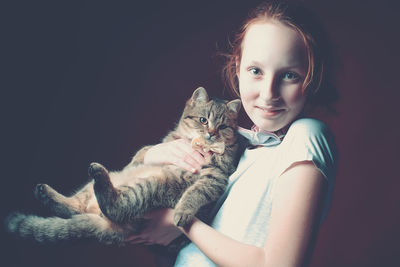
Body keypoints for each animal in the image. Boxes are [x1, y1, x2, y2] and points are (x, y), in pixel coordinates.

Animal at [5, 87, 244, 250]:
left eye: (223, 126)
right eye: (203, 120)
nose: (211, 134)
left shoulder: (215, 176)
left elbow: (196, 192)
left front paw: (182, 212)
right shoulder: (160, 145)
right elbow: (143, 151)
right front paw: (135, 160)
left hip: (151, 186)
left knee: (113, 207)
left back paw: (97, 178)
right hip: (100, 187)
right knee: (76, 206)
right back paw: (46, 193)